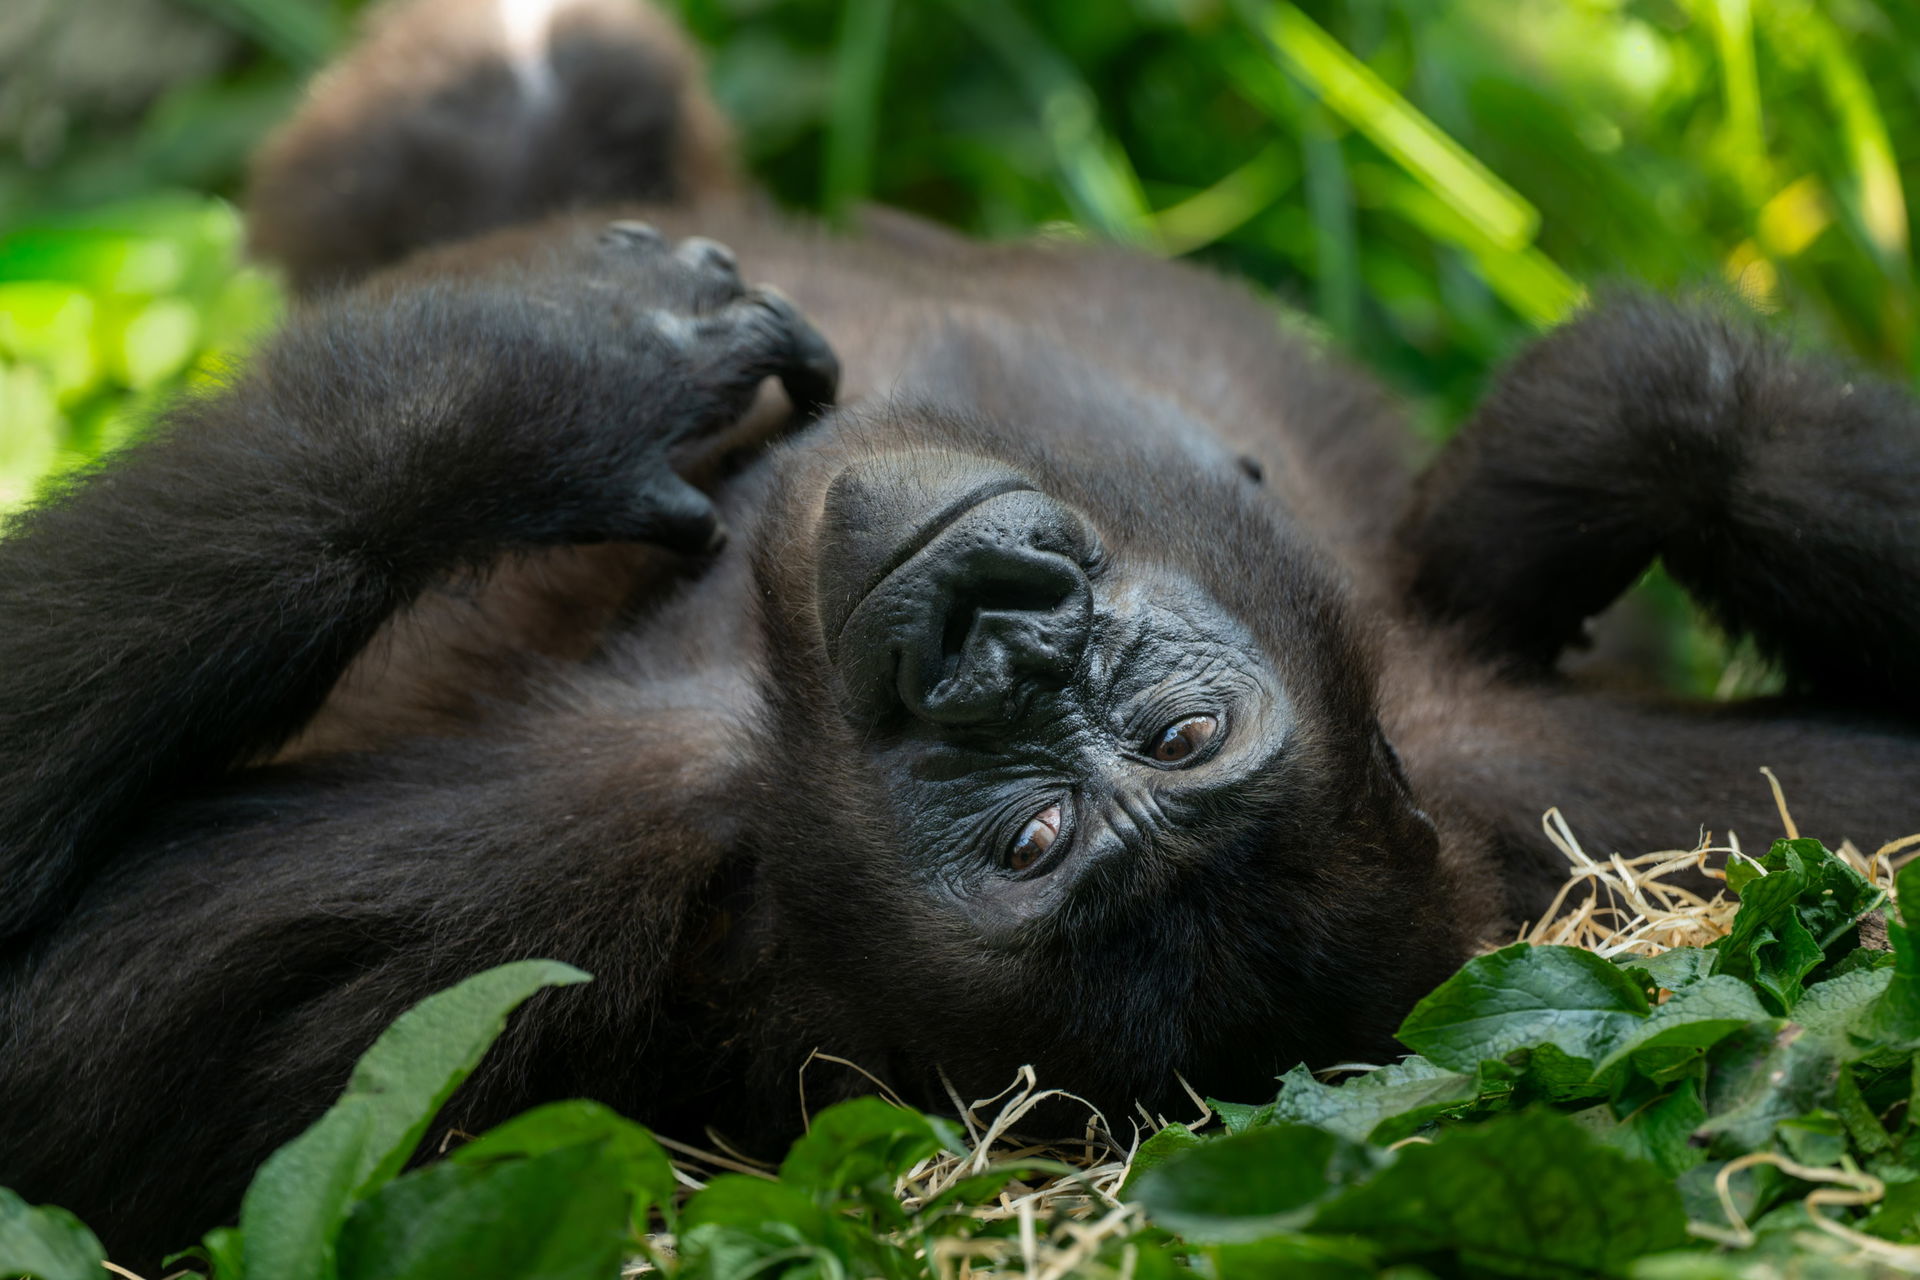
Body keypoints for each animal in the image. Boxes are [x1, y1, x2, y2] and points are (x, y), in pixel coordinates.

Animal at [2, 0, 1917, 1263]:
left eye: (1048, 828)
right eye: (1158, 744)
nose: (995, 639)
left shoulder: (531, 881)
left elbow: (35, 1032)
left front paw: (529, 394)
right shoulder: (1580, 788)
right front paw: (1591, 454)